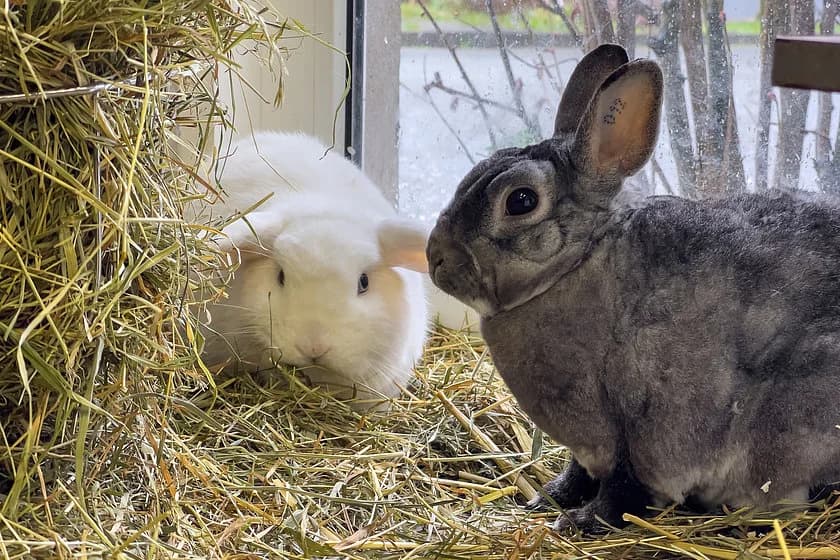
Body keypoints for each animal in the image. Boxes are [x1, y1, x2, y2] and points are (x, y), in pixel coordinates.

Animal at [426, 43, 840, 534]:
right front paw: (548, 499)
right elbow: (579, 472)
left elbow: (624, 487)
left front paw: (581, 521)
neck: (578, 266)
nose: (435, 258)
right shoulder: (589, 447)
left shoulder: (637, 430)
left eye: (521, 201)